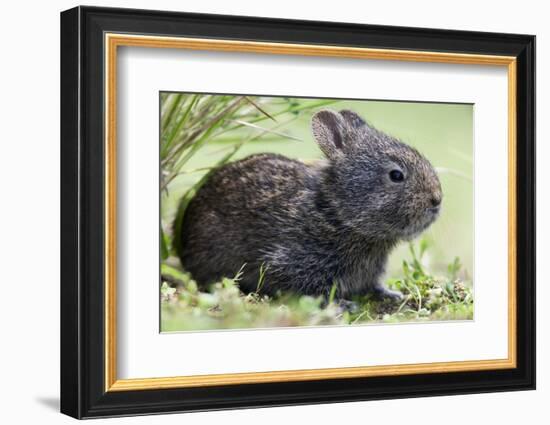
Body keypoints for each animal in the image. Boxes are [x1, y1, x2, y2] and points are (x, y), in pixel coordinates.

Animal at [177, 109, 444, 302]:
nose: (437, 199)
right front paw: (341, 305)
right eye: (396, 175)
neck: (337, 213)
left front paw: (391, 294)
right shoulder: (293, 262)